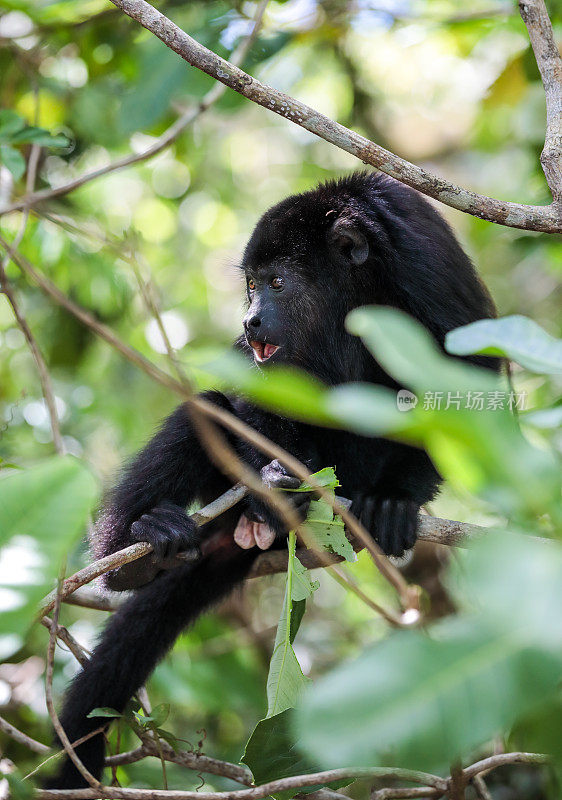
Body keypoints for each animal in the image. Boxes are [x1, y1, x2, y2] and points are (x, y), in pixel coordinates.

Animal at [46, 173, 496, 788]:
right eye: (252, 285)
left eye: (278, 282)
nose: (250, 319)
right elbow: (255, 392)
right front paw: (274, 483)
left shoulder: (423, 261)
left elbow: (468, 375)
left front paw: (396, 500)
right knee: (207, 411)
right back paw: (143, 549)